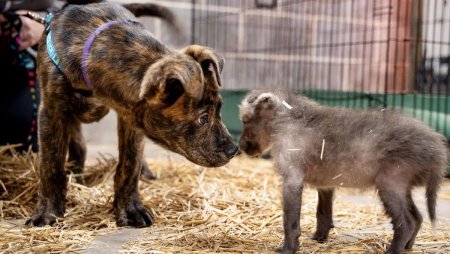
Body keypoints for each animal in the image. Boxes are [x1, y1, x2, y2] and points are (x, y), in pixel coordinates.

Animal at [25, 1, 239, 227]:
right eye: (202, 118)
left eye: (219, 110)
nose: (234, 150)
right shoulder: (52, 111)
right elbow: (51, 164)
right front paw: (48, 212)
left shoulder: (130, 117)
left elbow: (129, 166)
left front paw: (129, 209)